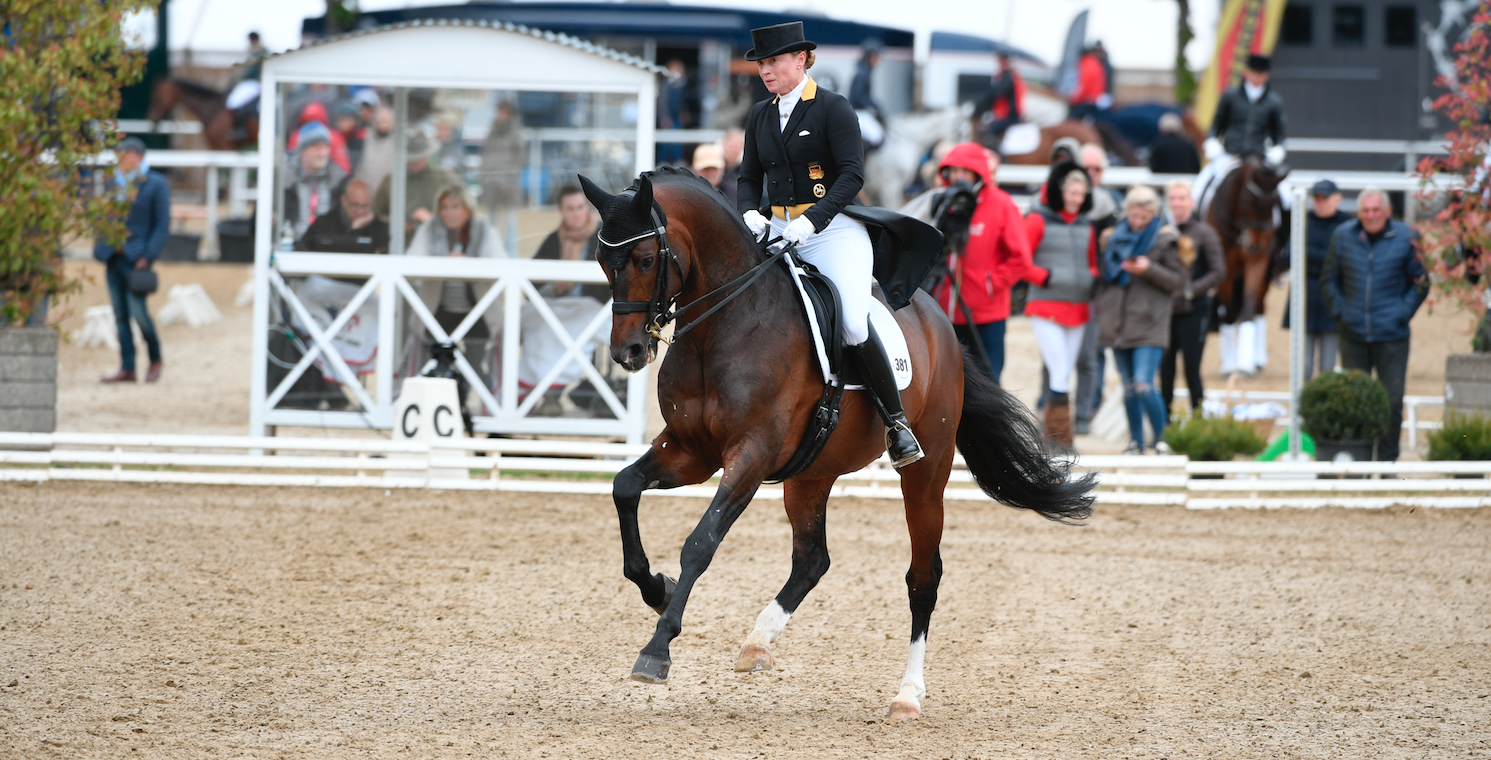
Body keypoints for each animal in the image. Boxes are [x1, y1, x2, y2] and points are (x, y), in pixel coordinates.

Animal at [581, 166, 1097, 718]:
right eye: (602, 261)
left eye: (645, 258)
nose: (629, 352)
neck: (724, 324)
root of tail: (940, 321)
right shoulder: (689, 451)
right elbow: (624, 488)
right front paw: (657, 588)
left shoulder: (750, 456)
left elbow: (701, 542)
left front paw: (657, 649)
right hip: (810, 473)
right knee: (813, 560)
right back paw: (757, 643)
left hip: (926, 472)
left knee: (923, 577)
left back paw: (907, 695)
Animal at [1204, 156, 1288, 377]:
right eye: (1247, 200)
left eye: (1274, 204)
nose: (1256, 245)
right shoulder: (1225, 269)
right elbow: (1229, 313)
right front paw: (1229, 365)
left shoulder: (1257, 263)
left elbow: (1249, 307)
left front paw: (1244, 364)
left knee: (1259, 307)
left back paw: (1257, 360)